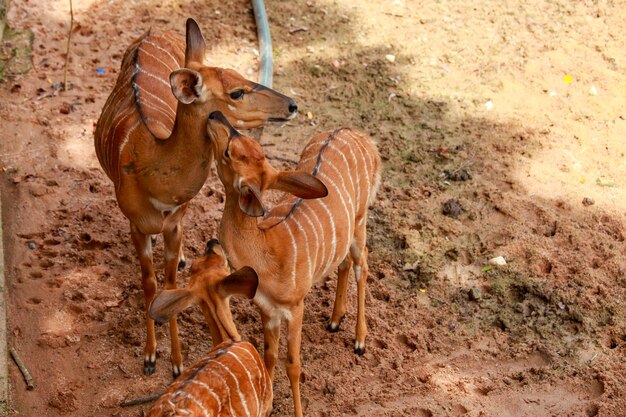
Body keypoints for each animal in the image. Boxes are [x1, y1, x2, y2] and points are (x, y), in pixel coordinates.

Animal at [93, 18, 298, 376]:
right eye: (236, 92)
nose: (291, 105)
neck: (154, 170)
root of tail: (153, 31)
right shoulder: (137, 226)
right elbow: (150, 282)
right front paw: (150, 357)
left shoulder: (174, 222)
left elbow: (171, 283)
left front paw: (176, 362)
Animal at [206, 111, 380, 416]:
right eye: (237, 146)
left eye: (228, 152)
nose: (215, 115)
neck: (267, 252)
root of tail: (359, 137)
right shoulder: (267, 310)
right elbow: (269, 356)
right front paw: (268, 405)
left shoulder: (296, 306)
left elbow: (293, 365)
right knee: (344, 262)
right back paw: (334, 321)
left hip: (360, 221)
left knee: (363, 265)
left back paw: (359, 340)